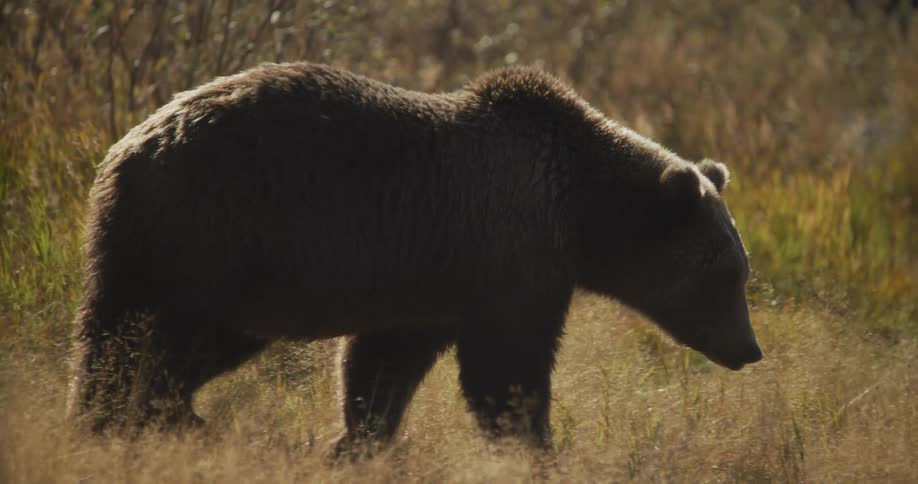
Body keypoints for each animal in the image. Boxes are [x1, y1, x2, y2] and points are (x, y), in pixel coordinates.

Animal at [67, 62, 762, 452]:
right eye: (726, 273)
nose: (749, 349)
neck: (581, 210)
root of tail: (129, 145)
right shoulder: (511, 254)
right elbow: (505, 371)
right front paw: (534, 444)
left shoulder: (430, 285)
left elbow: (381, 370)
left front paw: (356, 442)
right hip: (207, 234)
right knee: (147, 341)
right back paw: (137, 421)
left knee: (154, 345)